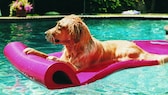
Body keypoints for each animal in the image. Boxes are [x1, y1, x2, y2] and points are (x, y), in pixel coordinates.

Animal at [23, 14, 168, 71]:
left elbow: (67, 63)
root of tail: (140, 48)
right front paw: (32, 50)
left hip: (124, 52)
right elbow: (44, 54)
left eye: (59, 26)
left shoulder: (78, 68)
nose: (44, 33)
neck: (73, 49)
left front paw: (54, 58)